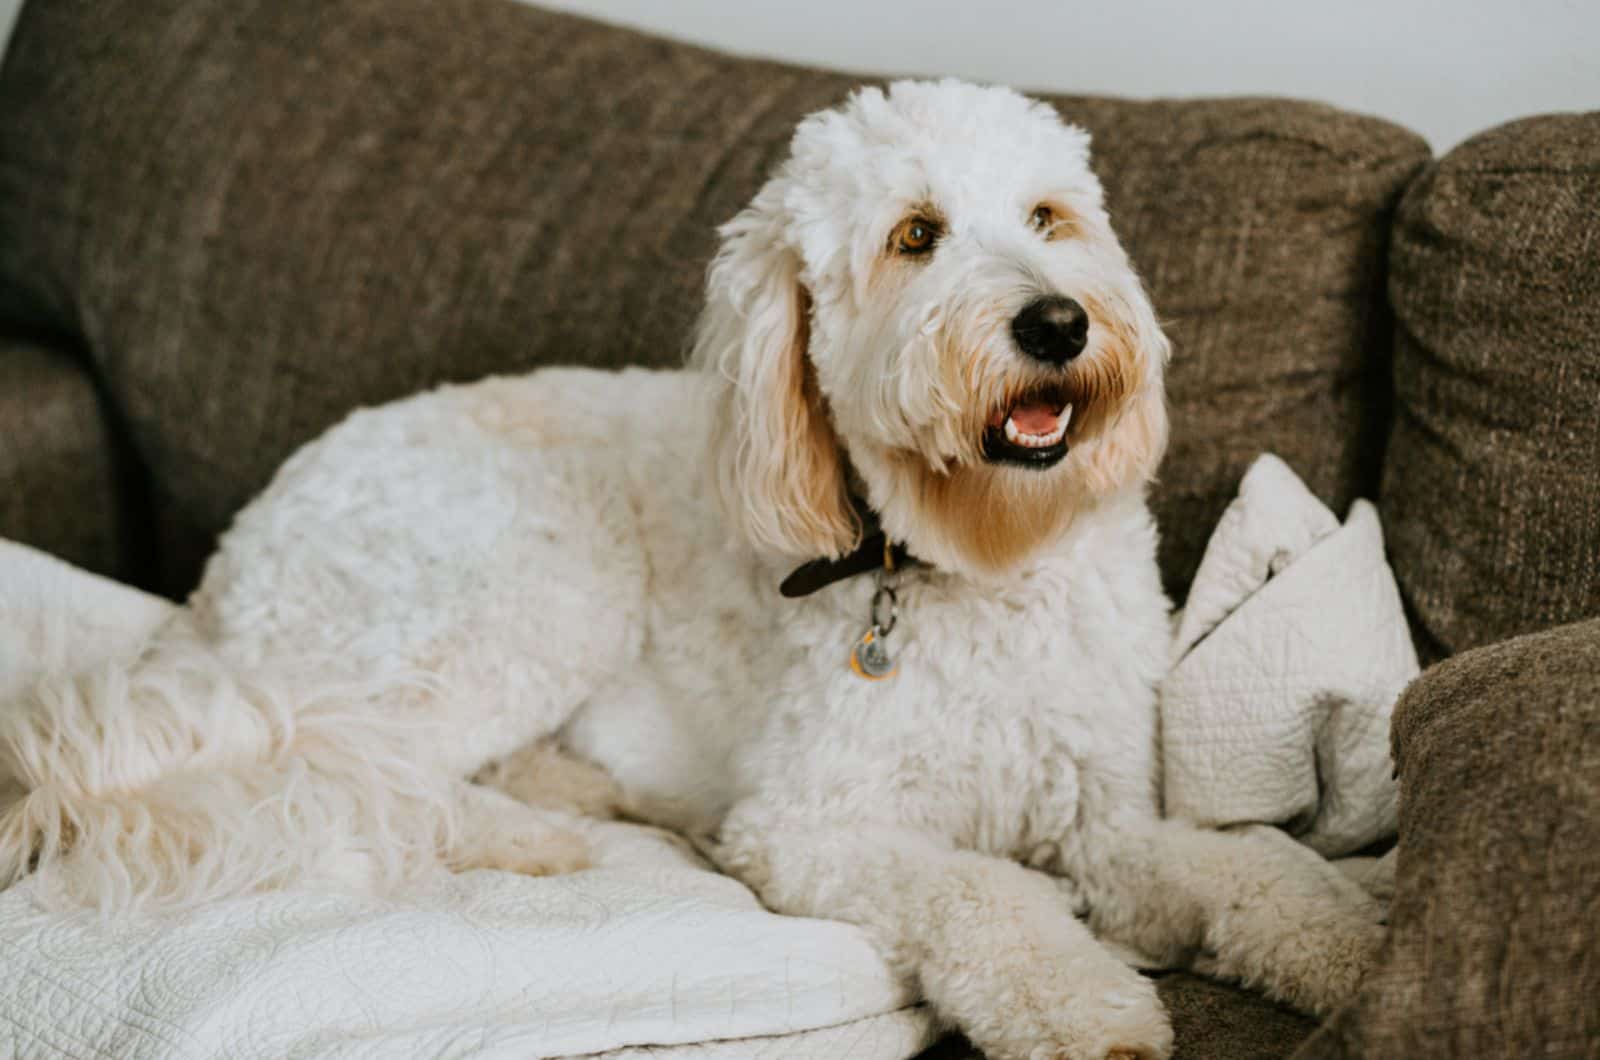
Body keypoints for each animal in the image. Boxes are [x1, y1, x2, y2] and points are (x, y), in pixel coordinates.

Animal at [0, 80, 1376, 1060]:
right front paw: (1084, 1006)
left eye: (1050, 218)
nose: (1057, 322)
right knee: (361, 765)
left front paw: (1355, 948)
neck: (968, 565)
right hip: (533, 590)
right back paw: (532, 836)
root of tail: (232, 566)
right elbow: (980, 892)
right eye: (915, 236)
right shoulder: (810, 827)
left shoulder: (1104, 815)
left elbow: (1252, 864)